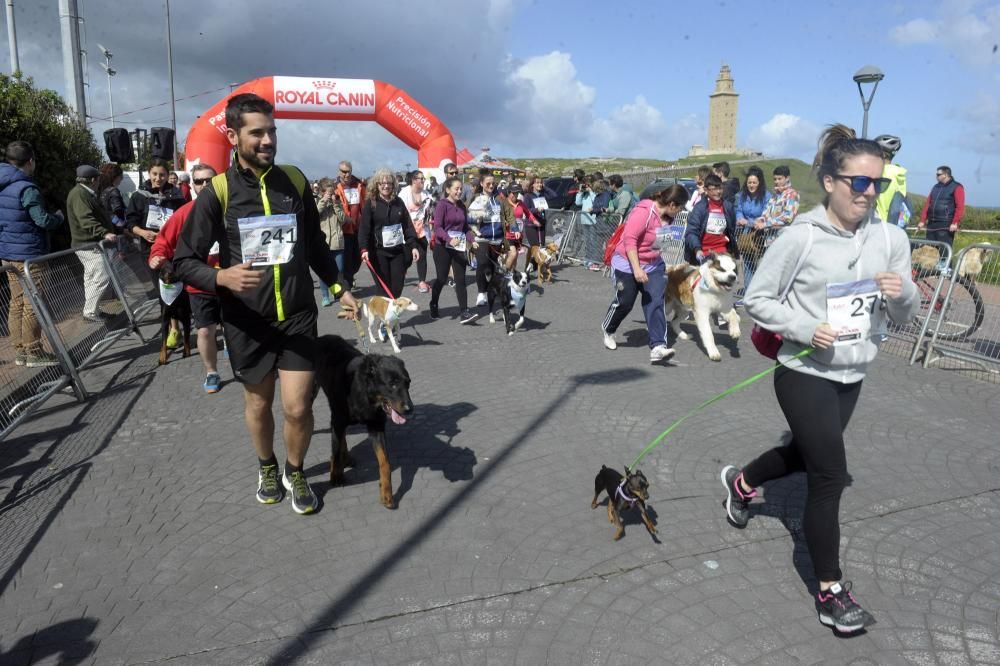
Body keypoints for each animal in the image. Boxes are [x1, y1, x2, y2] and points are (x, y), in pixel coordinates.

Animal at [312, 332, 414, 508]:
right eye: (392, 384)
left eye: (408, 383)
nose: (409, 409)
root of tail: (324, 336)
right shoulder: (337, 420)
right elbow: (335, 450)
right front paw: (336, 476)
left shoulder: (376, 426)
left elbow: (385, 462)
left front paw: (387, 494)